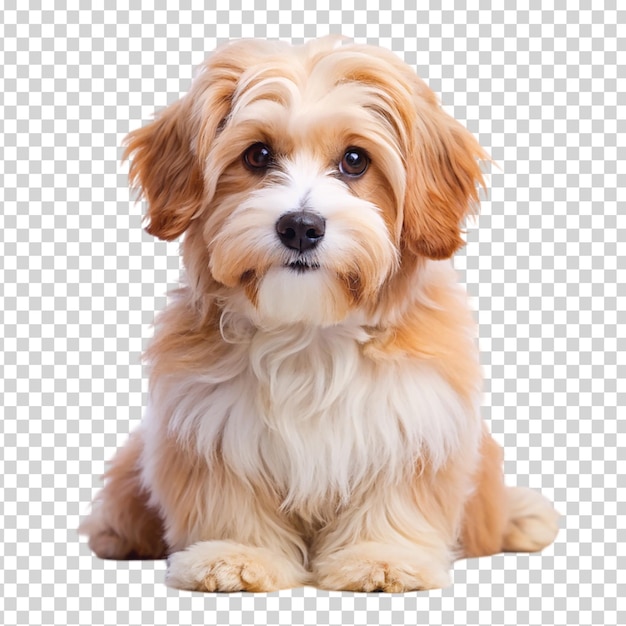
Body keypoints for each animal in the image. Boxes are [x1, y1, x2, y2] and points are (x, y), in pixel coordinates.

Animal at [80, 35, 560, 588]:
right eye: (258, 155)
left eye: (355, 160)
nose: (301, 227)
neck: (308, 332)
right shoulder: (210, 427)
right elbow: (229, 499)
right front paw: (236, 555)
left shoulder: (414, 421)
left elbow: (395, 497)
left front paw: (381, 556)